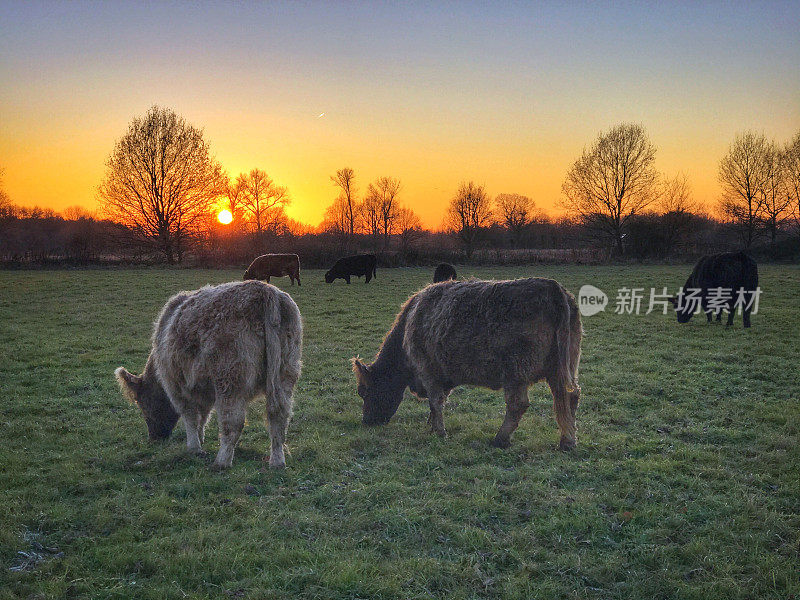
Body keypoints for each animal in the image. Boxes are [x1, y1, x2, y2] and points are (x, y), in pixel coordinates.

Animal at [112, 282, 300, 468]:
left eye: (142, 403)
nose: (154, 438)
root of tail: (265, 290)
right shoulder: (203, 387)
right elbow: (202, 415)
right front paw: (200, 439)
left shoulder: (177, 387)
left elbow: (190, 416)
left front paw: (194, 447)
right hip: (285, 374)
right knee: (278, 418)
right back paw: (277, 462)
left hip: (230, 380)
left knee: (233, 422)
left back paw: (222, 462)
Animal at [354, 278, 584, 452]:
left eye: (364, 392)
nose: (367, 421)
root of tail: (552, 286)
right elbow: (438, 402)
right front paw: (432, 426)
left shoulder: (428, 370)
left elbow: (435, 401)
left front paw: (439, 432)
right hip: (562, 367)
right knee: (569, 396)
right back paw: (568, 442)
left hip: (516, 371)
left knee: (518, 404)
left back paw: (500, 439)